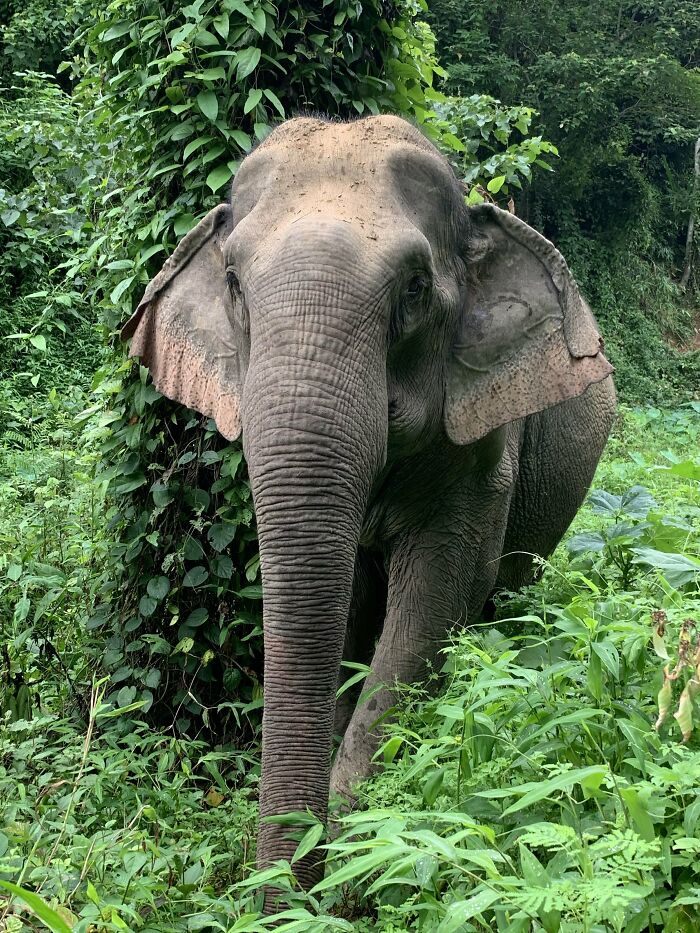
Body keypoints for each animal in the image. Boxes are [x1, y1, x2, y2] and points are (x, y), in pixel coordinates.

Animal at [121, 115, 616, 901]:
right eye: (232, 283)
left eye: (415, 288)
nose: (277, 899)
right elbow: (344, 606)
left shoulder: (483, 445)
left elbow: (436, 599)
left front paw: (359, 855)